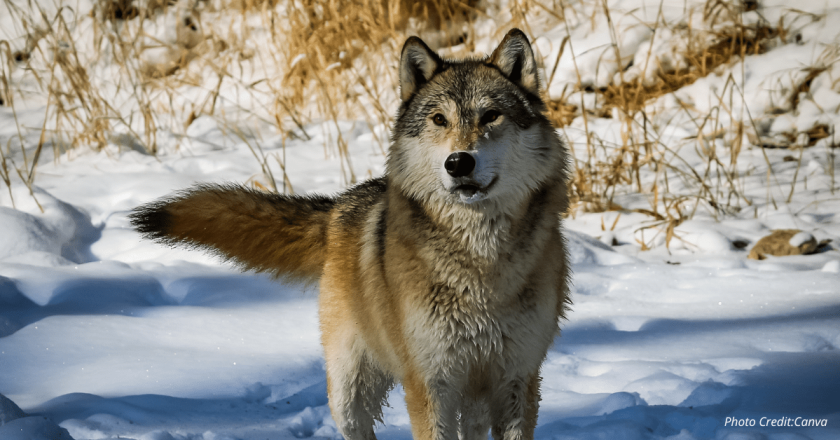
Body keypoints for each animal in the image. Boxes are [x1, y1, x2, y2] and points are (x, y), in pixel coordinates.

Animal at [130, 28, 571, 440]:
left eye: (491, 116)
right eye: (439, 120)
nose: (458, 162)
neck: (480, 263)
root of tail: (339, 205)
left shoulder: (516, 379)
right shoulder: (430, 384)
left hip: (470, 397)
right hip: (350, 393)